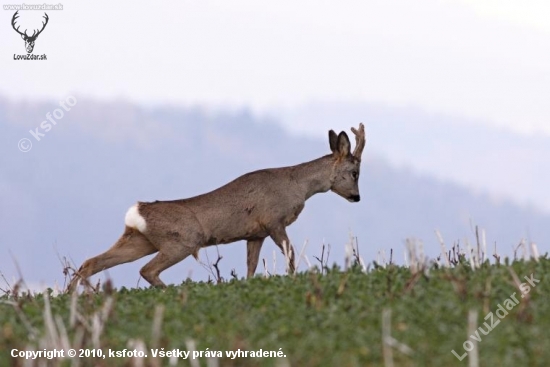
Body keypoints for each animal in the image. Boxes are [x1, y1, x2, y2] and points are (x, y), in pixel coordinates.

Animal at [69, 123, 368, 294]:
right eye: (355, 172)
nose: (357, 197)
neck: (298, 185)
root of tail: (136, 211)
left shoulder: (255, 234)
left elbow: (251, 267)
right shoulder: (273, 221)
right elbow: (291, 254)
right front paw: (293, 279)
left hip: (139, 241)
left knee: (91, 262)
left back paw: (75, 296)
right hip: (182, 242)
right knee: (146, 270)